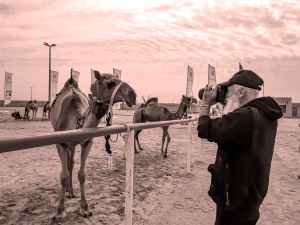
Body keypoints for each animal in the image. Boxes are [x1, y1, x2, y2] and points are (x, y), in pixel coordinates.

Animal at [50, 70, 137, 220]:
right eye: (110, 83)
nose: (133, 95)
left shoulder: (87, 143)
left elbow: (82, 174)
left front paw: (85, 208)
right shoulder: (60, 143)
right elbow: (63, 176)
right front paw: (60, 211)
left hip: (73, 144)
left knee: (71, 162)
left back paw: (71, 191)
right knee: (68, 163)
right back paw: (68, 191)